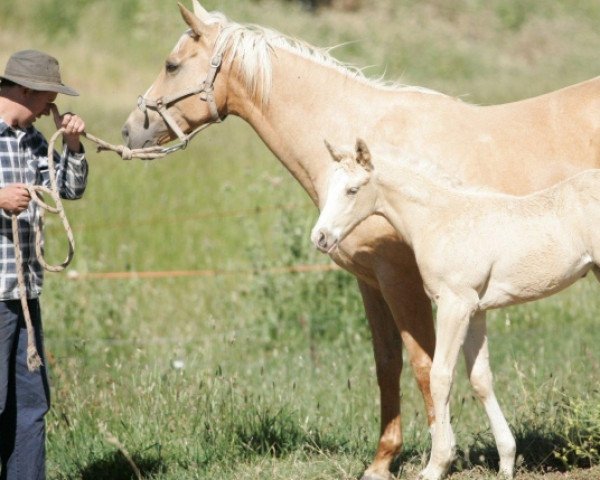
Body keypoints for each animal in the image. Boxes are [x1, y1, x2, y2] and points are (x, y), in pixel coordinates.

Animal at [310, 139, 600, 480]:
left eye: (352, 190)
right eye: (330, 187)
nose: (320, 237)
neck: (440, 218)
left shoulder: (454, 304)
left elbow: (440, 376)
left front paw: (437, 464)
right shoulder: (475, 310)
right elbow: (480, 379)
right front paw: (506, 461)